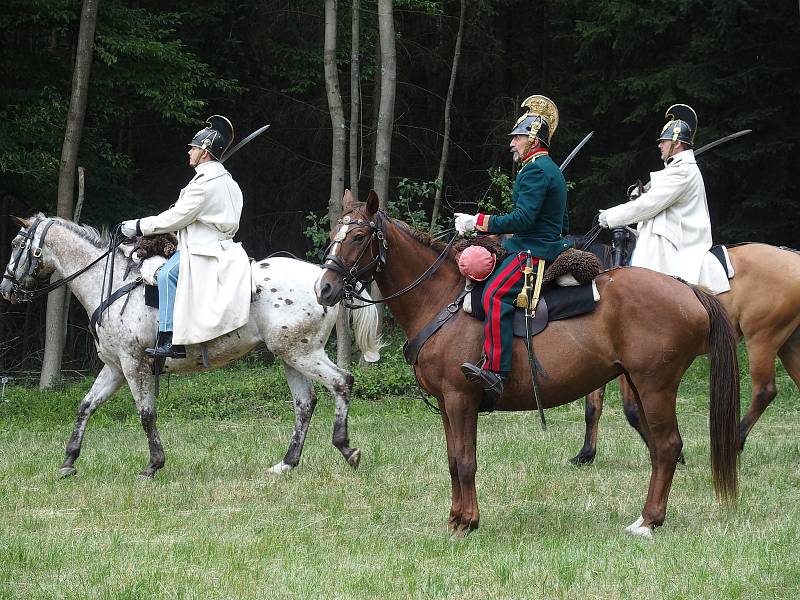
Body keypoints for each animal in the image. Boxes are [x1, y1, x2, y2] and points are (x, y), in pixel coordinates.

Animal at [0, 214, 382, 478]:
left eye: (17, 243)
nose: (5, 289)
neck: (114, 284)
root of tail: (323, 279)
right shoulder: (115, 368)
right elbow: (85, 407)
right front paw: (68, 461)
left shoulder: (133, 365)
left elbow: (146, 413)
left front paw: (153, 465)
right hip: (290, 355)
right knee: (305, 403)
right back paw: (286, 464)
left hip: (303, 353)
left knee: (342, 382)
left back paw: (346, 449)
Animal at [316, 192, 740, 540]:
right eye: (335, 231)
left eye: (358, 237)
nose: (325, 288)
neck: (441, 299)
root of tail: (687, 288)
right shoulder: (447, 405)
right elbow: (453, 461)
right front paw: (455, 519)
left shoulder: (460, 398)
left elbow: (466, 462)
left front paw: (467, 522)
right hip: (638, 384)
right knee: (657, 447)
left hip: (656, 386)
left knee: (667, 447)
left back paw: (648, 522)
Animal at [568, 230, 800, 464]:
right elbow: (593, 406)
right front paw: (585, 453)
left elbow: (631, 411)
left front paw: (675, 454)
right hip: (787, 347)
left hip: (761, 340)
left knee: (764, 391)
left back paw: (736, 440)